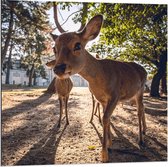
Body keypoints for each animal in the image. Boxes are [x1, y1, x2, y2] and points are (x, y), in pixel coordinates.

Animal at [50, 13, 148, 162]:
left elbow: (106, 118)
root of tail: (145, 70)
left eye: (77, 45)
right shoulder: (101, 99)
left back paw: (140, 139)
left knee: (139, 110)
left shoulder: (115, 95)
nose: (58, 68)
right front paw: (110, 143)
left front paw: (104, 154)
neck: (101, 78)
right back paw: (144, 131)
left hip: (140, 90)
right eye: (54, 48)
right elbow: (105, 117)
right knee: (143, 108)